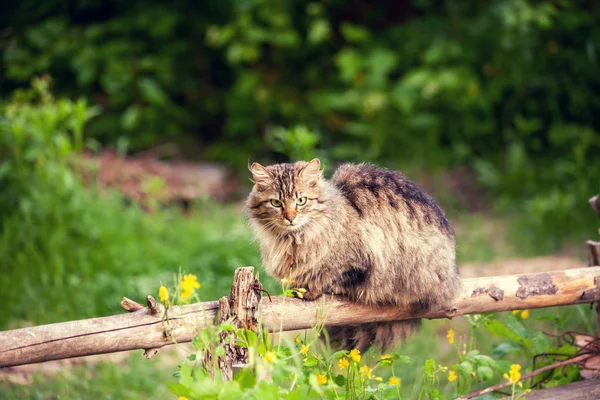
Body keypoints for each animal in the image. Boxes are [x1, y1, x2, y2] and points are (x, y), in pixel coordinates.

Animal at [244, 158, 460, 352]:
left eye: (301, 201)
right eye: (276, 203)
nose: (290, 218)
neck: (292, 239)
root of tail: (454, 273)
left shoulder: (361, 257)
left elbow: (336, 276)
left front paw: (314, 290)